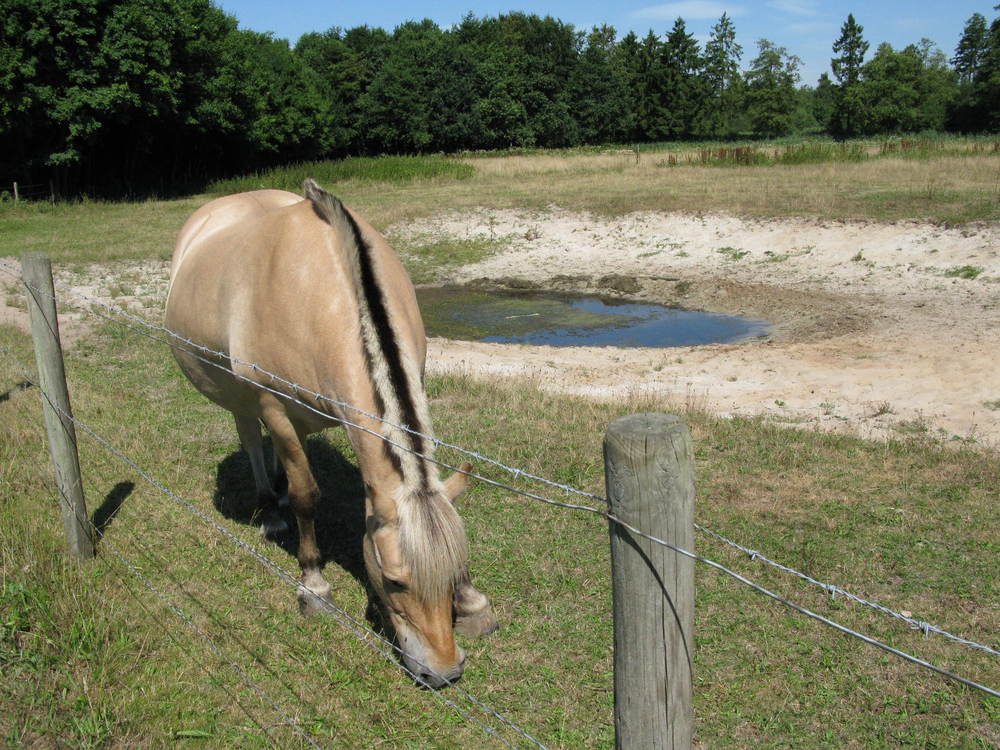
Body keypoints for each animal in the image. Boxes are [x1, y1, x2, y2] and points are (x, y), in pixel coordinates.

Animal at [163, 181, 500, 688]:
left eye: (455, 569)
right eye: (395, 581)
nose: (443, 672)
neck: (323, 293)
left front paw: (472, 601)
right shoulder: (273, 405)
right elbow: (308, 495)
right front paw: (314, 584)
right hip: (242, 396)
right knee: (251, 438)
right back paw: (270, 508)